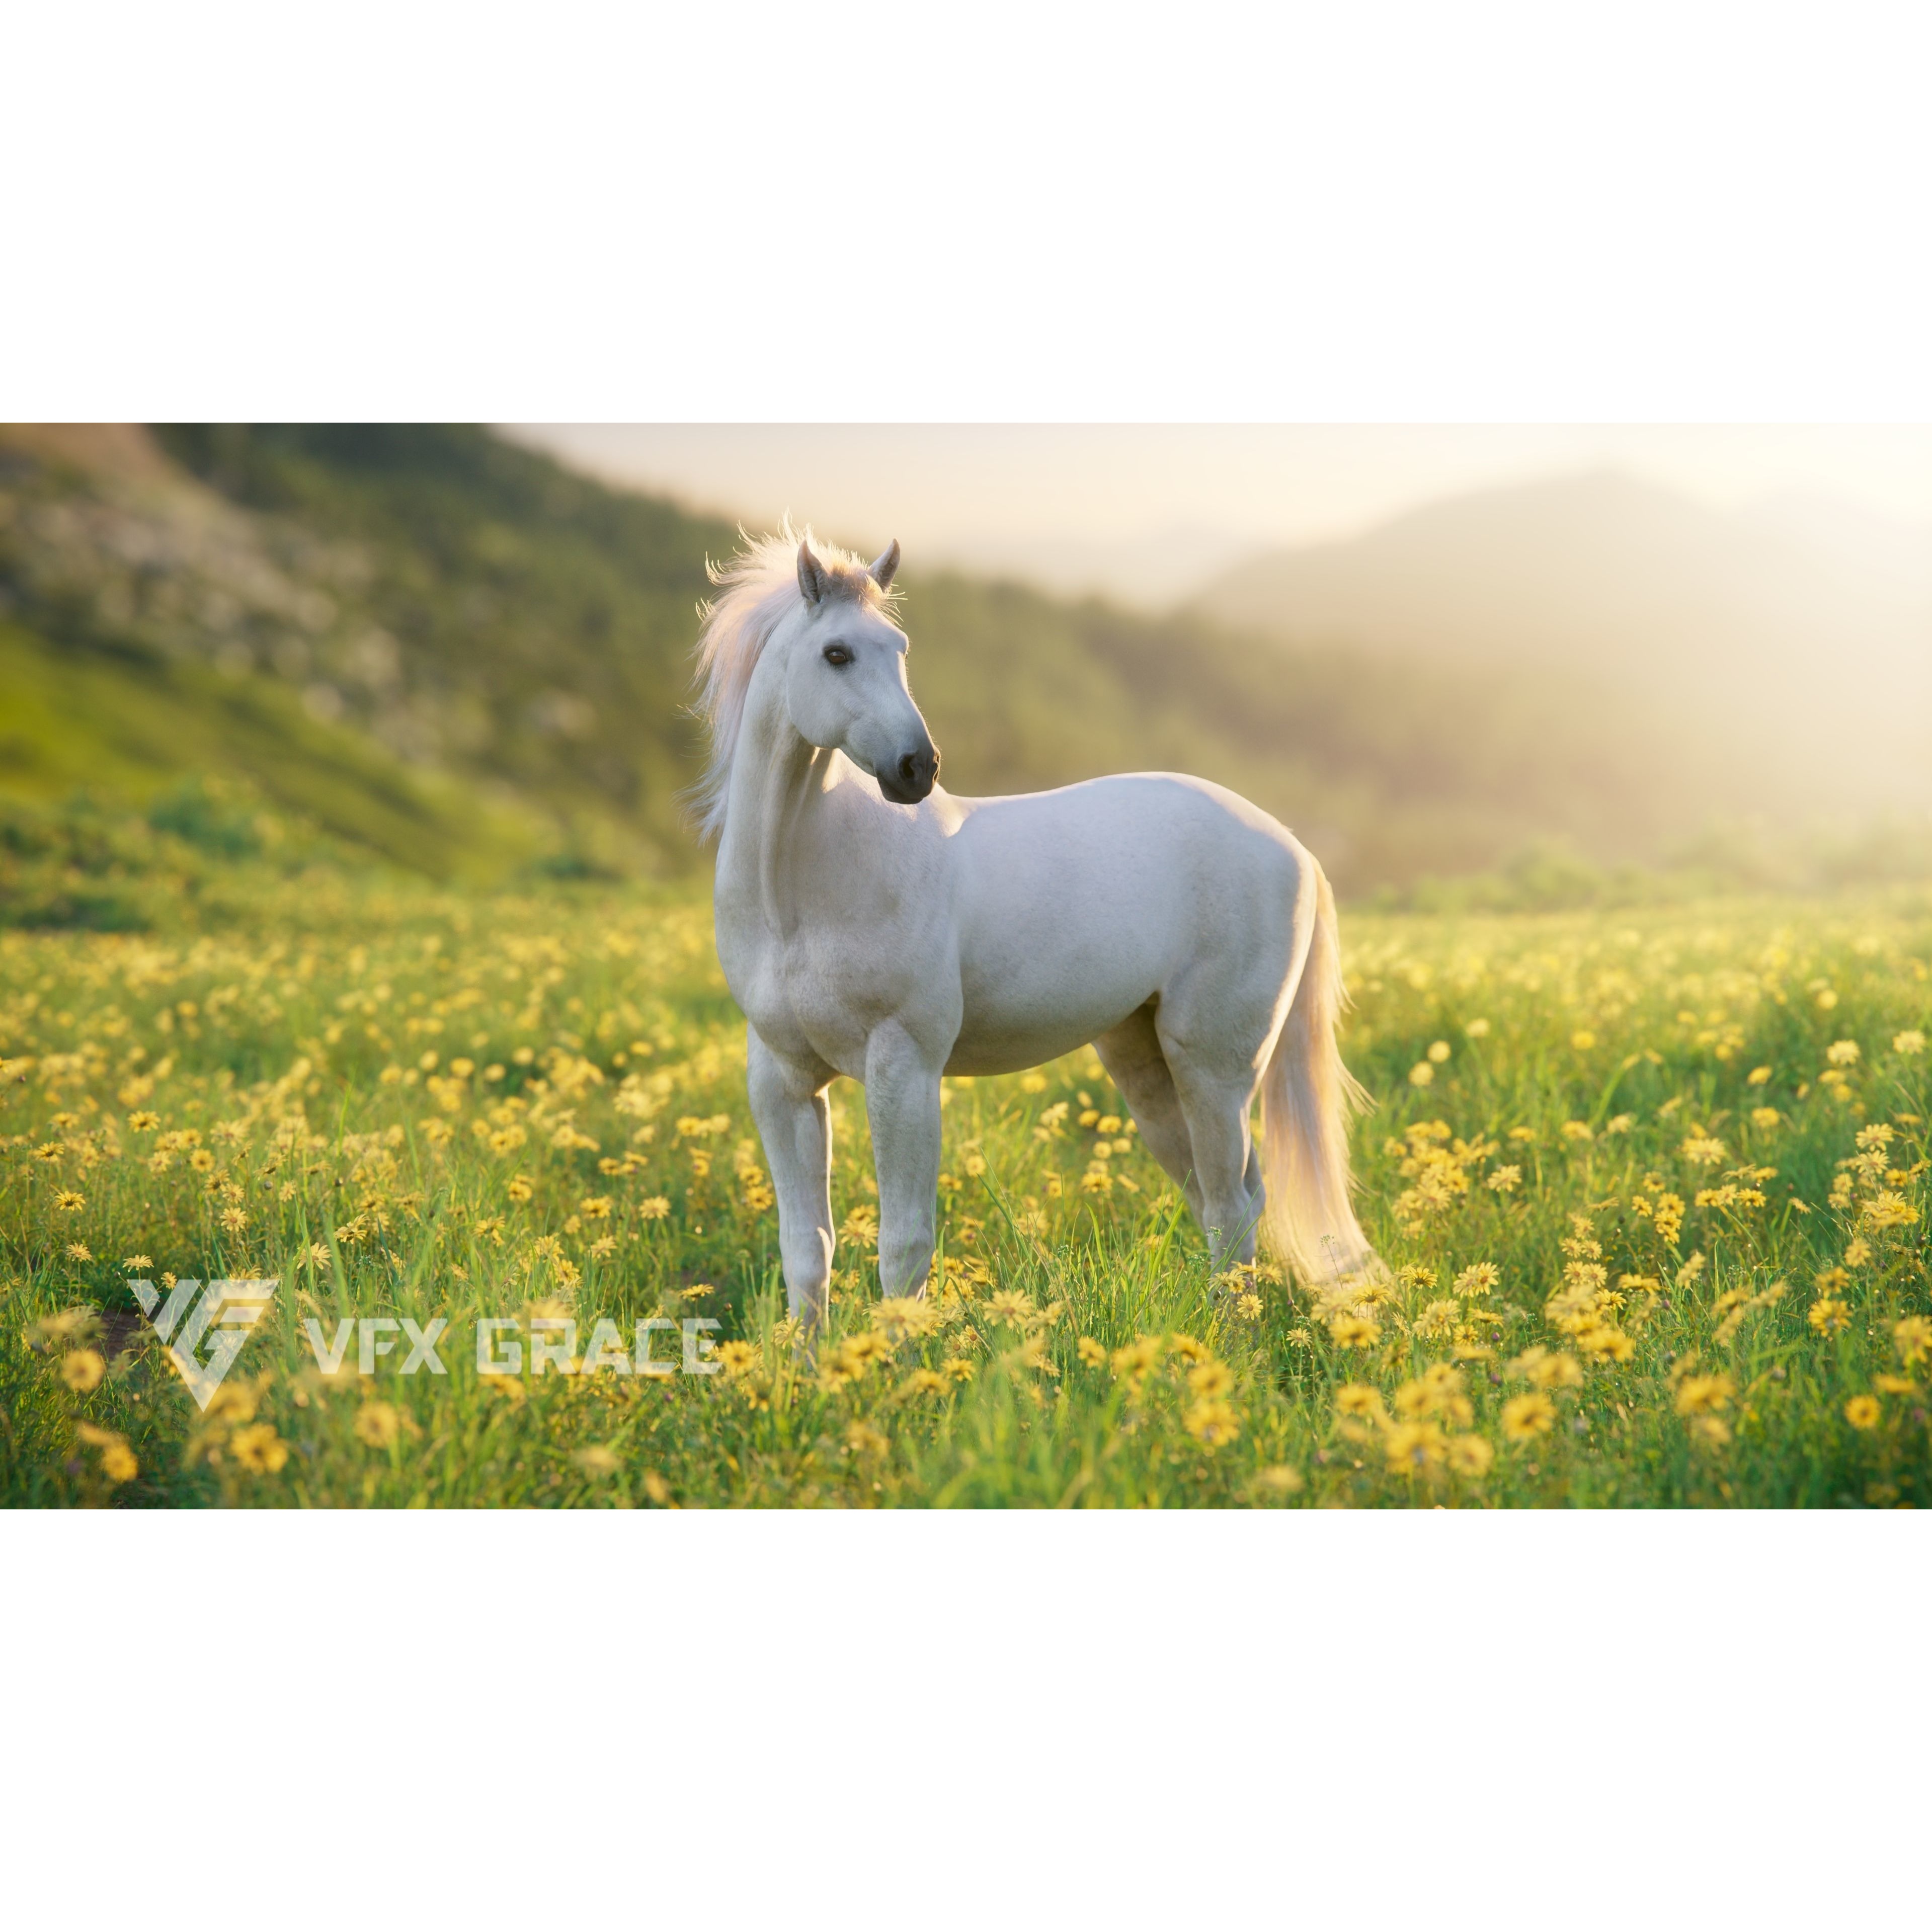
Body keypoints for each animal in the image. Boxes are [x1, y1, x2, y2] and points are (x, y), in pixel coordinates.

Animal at [694, 524, 1380, 1328]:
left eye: (899, 647)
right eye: (837, 653)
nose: (917, 769)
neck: (797, 896)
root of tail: (1294, 847)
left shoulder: (904, 1070)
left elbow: (903, 1250)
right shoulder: (784, 1083)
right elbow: (808, 1252)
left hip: (1214, 1070)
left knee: (1232, 1206)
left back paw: (1227, 1338)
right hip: (1145, 1067)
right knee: (1230, 1197)